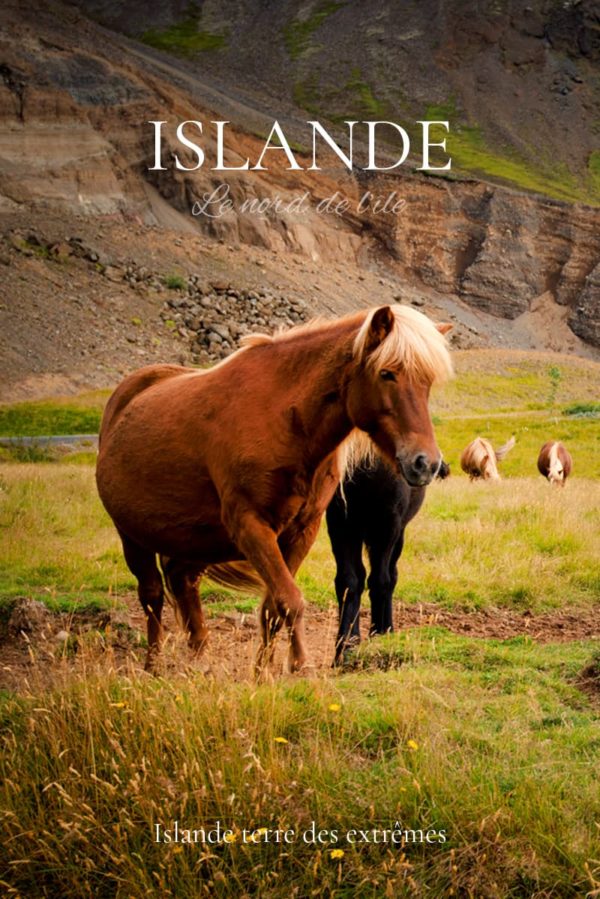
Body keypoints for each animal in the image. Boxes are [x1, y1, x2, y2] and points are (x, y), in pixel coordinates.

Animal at [326, 454, 450, 664]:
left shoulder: (388, 525)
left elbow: (380, 581)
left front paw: (377, 636)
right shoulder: (340, 522)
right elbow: (348, 582)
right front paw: (346, 648)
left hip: (397, 535)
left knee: (391, 576)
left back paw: (388, 630)